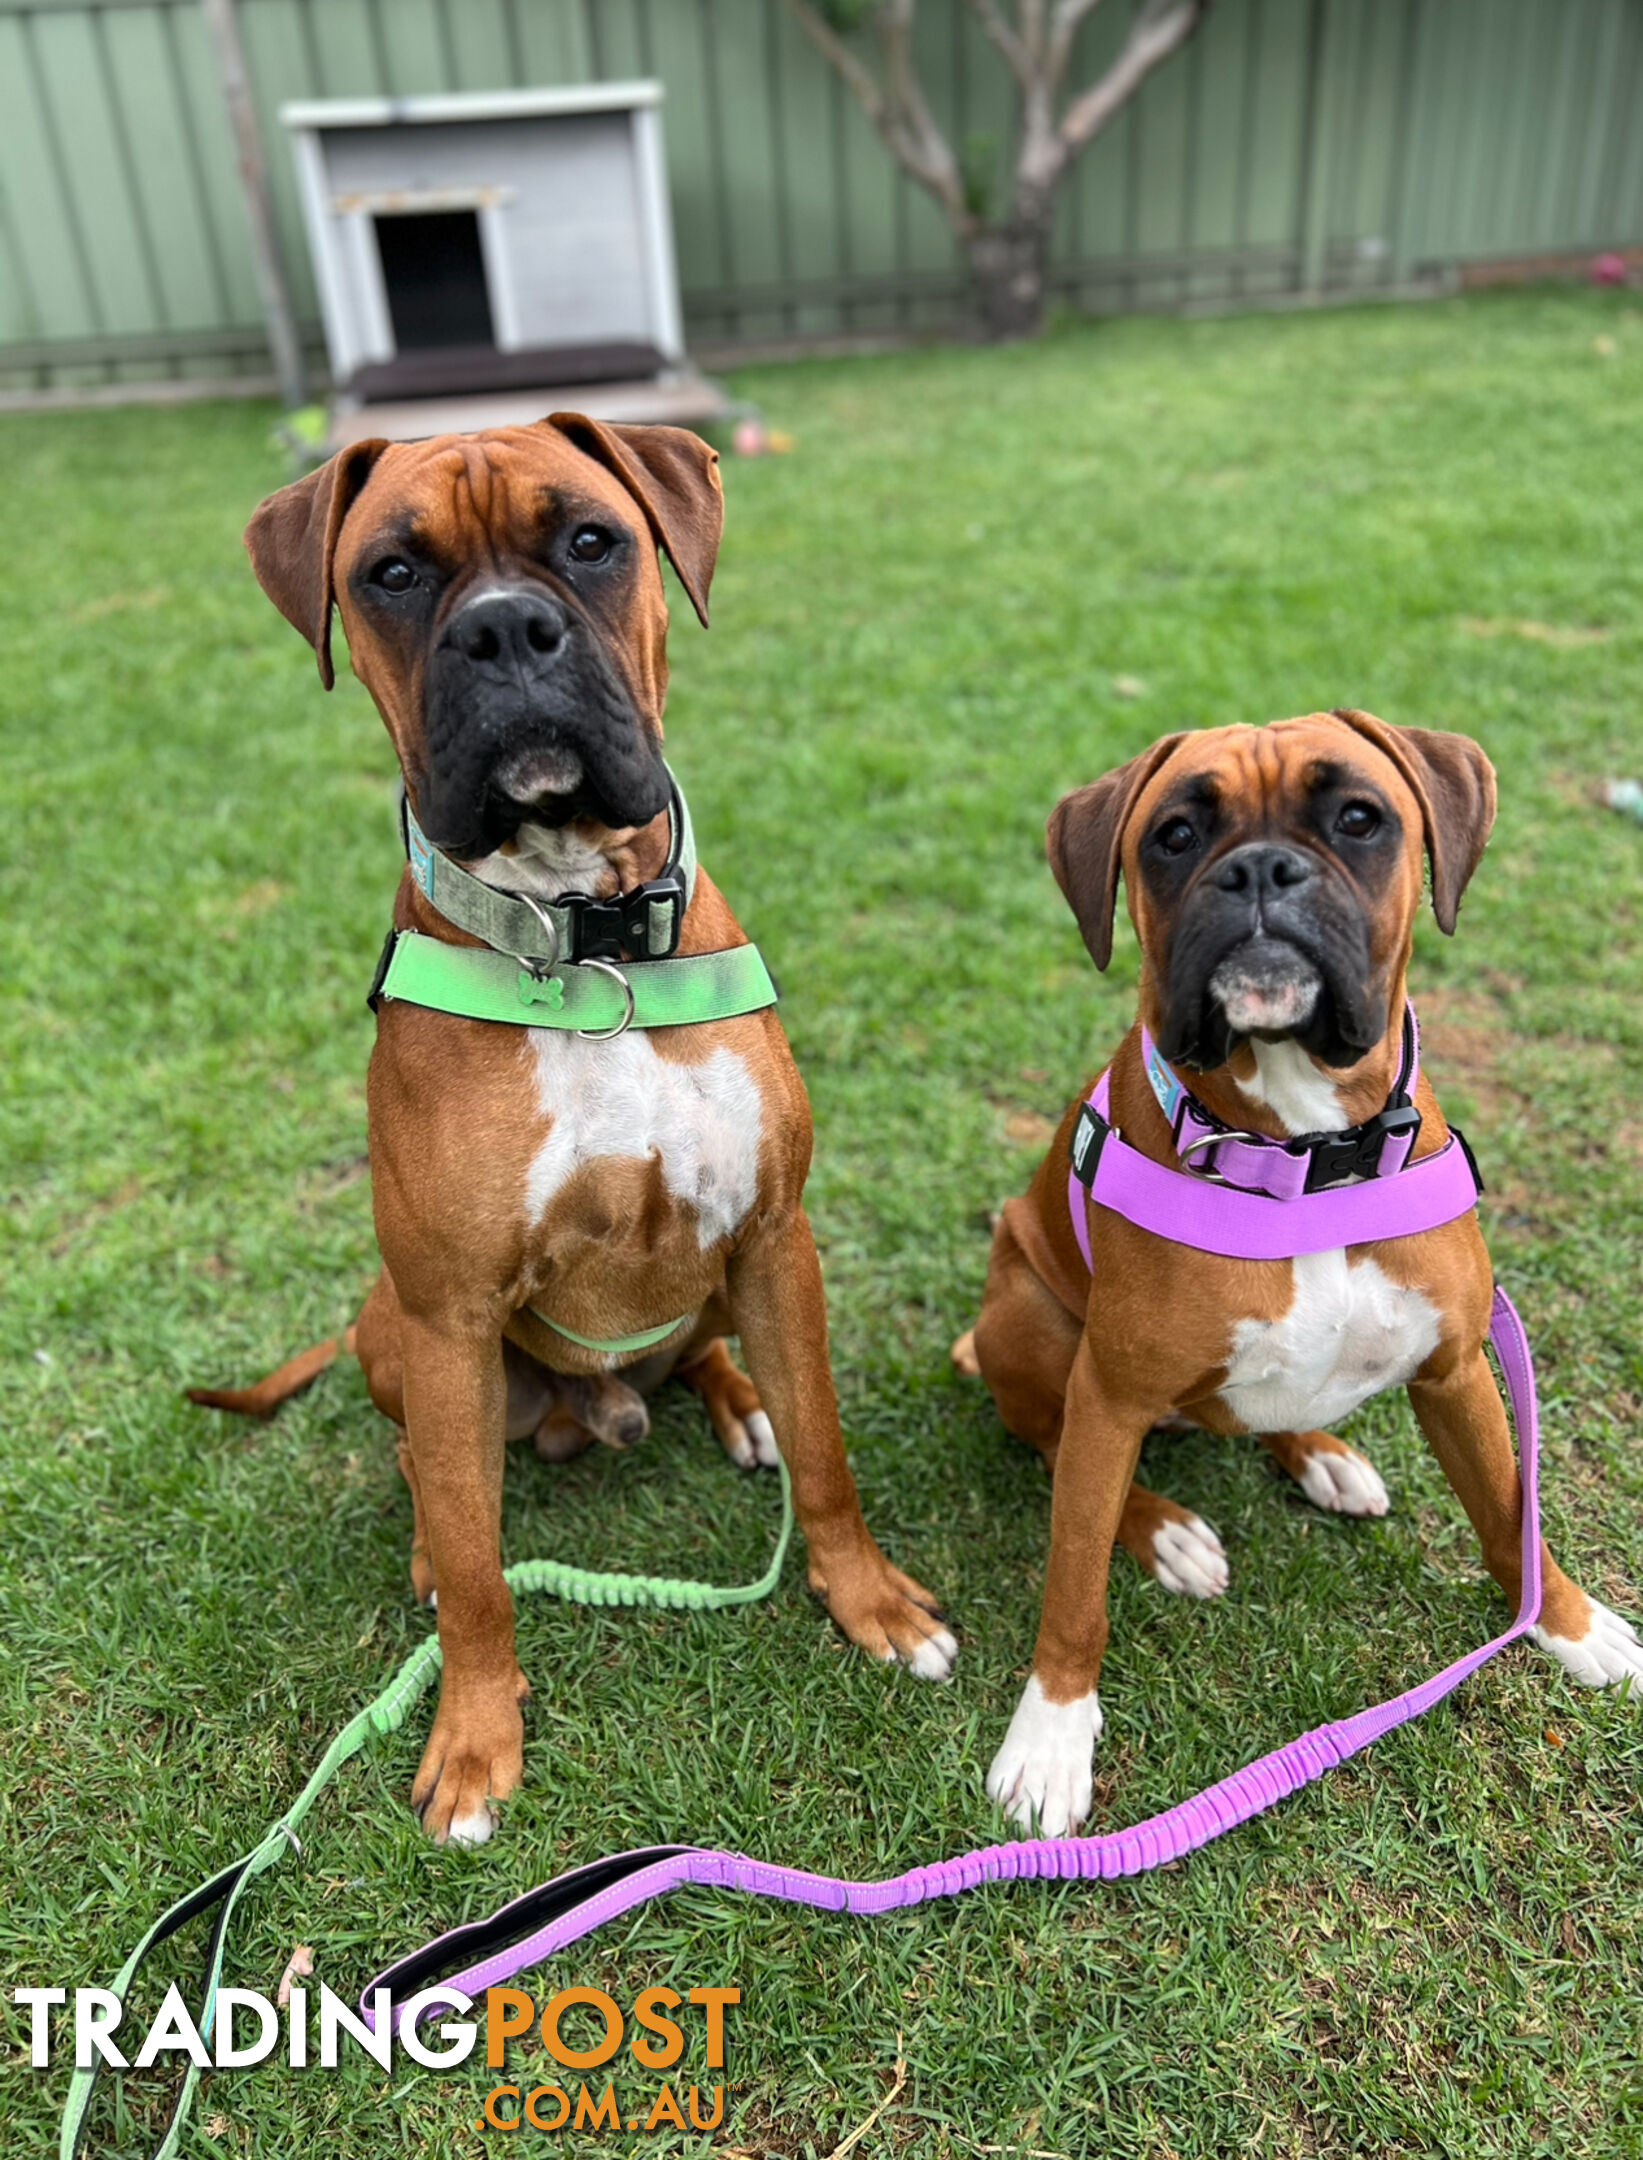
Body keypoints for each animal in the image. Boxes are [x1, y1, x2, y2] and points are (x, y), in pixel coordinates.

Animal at [194, 416, 954, 1840]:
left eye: (592, 541)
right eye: (390, 572)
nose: (503, 629)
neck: (582, 943)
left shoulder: (776, 1239)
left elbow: (828, 1453)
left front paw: (870, 1602)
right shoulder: (444, 1319)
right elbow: (482, 1566)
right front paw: (474, 1734)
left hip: (718, 1287)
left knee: (712, 1360)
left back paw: (732, 1403)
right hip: (393, 1334)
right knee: (429, 1471)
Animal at [954, 717, 1632, 1831]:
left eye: (1359, 818)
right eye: (1175, 836)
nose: (1260, 870)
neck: (1306, 1154)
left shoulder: (1457, 1371)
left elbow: (1508, 1513)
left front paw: (1569, 1626)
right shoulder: (1111, 1393)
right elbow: (1074, 1583)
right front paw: (1049, 1740)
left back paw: (1321, 1456)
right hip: (1026, 1312)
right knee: (1053, 1443)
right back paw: (1167, 1531)